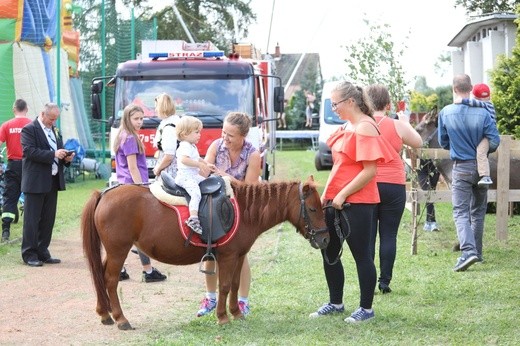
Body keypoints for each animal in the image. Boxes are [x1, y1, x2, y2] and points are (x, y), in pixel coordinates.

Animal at [82, 177, 330, 328]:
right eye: (312, 209)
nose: (326, 239)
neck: (244, 209)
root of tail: (104, 194)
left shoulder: (239, 256)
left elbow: (235, 285)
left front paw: (236, 313)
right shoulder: (227, 257)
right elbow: (225, 286)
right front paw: (222, 317)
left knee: (100, 278)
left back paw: (104, 313)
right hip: (118, 251)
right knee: (110, 280)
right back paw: (121, 318)